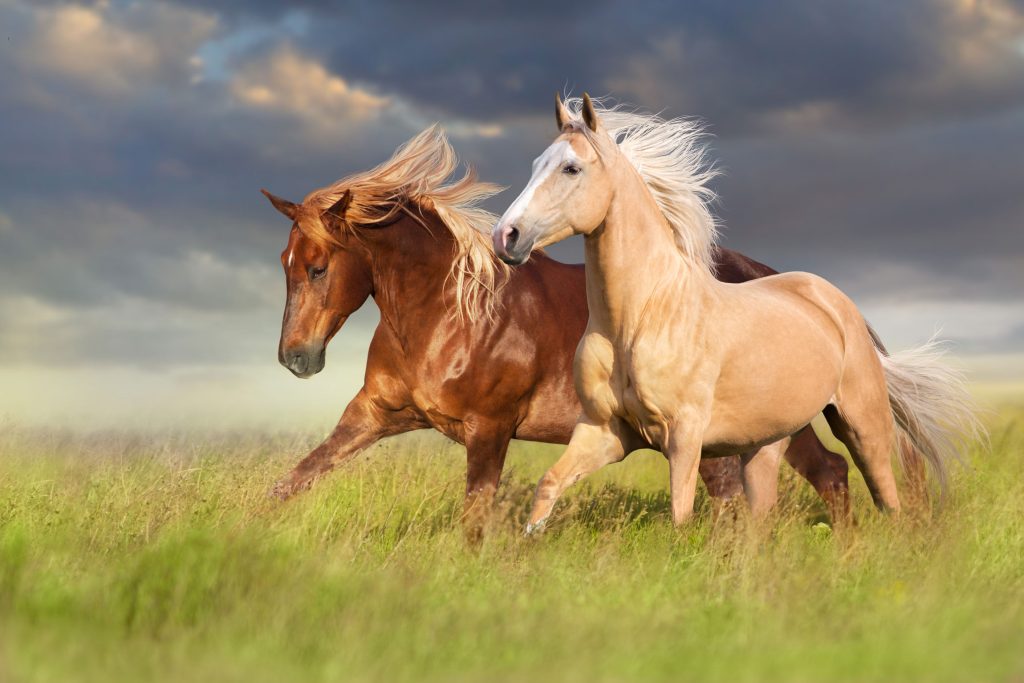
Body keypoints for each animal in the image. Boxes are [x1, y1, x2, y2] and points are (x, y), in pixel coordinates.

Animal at [260, 125, 851, 538]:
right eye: (285, 264)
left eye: (318, 268)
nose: (296, 358)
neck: (449, 315)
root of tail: (782, 281)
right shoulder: (375, 414)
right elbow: (295, 479)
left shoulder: (490, 429)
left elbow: (475, 518)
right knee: (822, 474)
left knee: (816, 477)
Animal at [492, 94, 981, 530]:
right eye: (536, 164)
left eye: (571, 168)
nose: (506, 236)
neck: (639, 319)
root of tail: (837, 303)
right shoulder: (604, 431)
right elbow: (548, 487)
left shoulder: (683, 437)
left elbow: (681, 515)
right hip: (766, 444)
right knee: (766, 515)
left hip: (862, 423)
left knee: (886, 496)